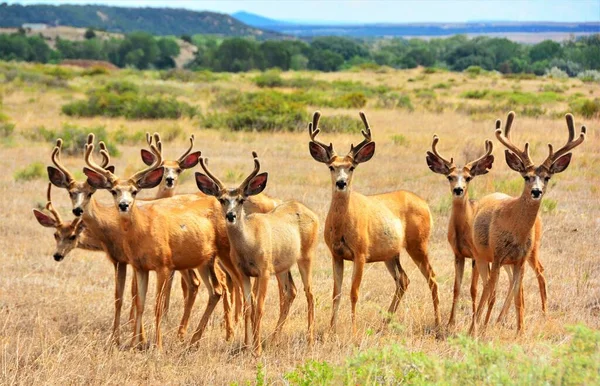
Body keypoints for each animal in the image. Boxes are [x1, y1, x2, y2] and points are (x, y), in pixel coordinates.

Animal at [196, 151, 318, 356]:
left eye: (241, 199)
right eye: (222, 199)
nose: (230, 215)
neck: (249, 243)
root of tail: (311, 213)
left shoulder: (264, 270)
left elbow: (259, 307)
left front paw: (257, 349)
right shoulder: (243, 273)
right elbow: (248, 307)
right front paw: (246, 345)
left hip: (306, 256)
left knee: (309, 293)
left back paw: (309, 339)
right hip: (283, 266)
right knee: (291, 292)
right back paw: (274, 339)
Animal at [310, 110, 440, 334]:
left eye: (352, 167)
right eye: (331, 167)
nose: (341, 183)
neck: (342, 226)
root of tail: (425, 204)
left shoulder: (361, 253)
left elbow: (354, 292)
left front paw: (353, 331)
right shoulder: (335, 254)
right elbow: (336, 293)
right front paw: (331, 330)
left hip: (418, 244)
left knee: (432, 278)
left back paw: (439, 323)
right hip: (391, 253)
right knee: (403, 280)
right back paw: (385, 323)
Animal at [426, 134, 548, 328]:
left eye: (468, 177)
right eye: (450, 176)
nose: (458, 190)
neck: (463, 229)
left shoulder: (477, 256)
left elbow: (475, 288)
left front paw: (474, 320)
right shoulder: (458, 254)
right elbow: (457, 288)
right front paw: (451, 323)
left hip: (532, 250)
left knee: (539, 272)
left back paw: (542, 314)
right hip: (509, 259)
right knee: (515, 282)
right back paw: (500, 318)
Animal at [468, 111, 584, 334]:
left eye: (547, 177)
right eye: (526, 177)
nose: (536, 191)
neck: (515, 228)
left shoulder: (519, 259)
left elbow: (518, 299)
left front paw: (520, 331)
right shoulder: (497, 255)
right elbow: (491, 292)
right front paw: (479, 330)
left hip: (522, 256)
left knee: (519, 284)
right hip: (481, 255)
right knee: (487, 288)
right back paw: (482, 323)